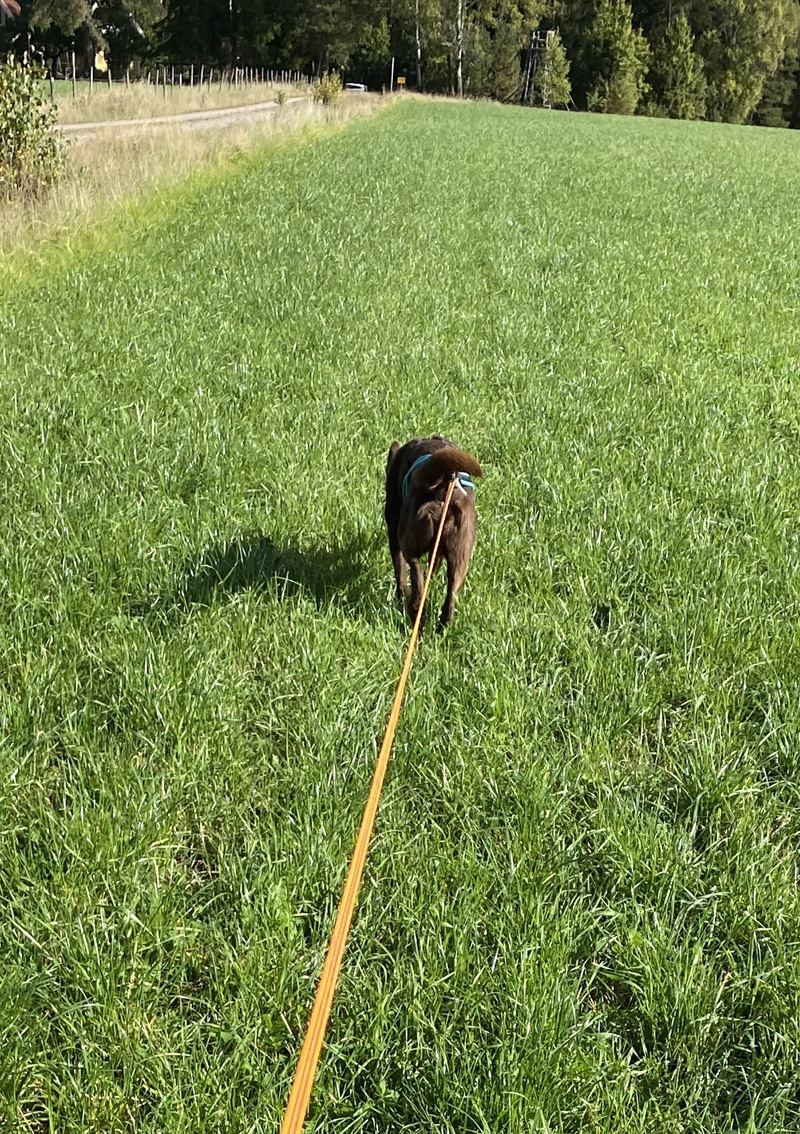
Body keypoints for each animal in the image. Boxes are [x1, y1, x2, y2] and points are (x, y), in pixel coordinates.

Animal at [384, 435, 483, 630]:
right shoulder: (437, 552)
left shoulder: (393, 530)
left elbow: (400, 573)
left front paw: (400, 596)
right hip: (460, 556)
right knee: (450, 598)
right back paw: (440, 628)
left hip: (407, 538)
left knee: (416, 573)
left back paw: (414, 610)